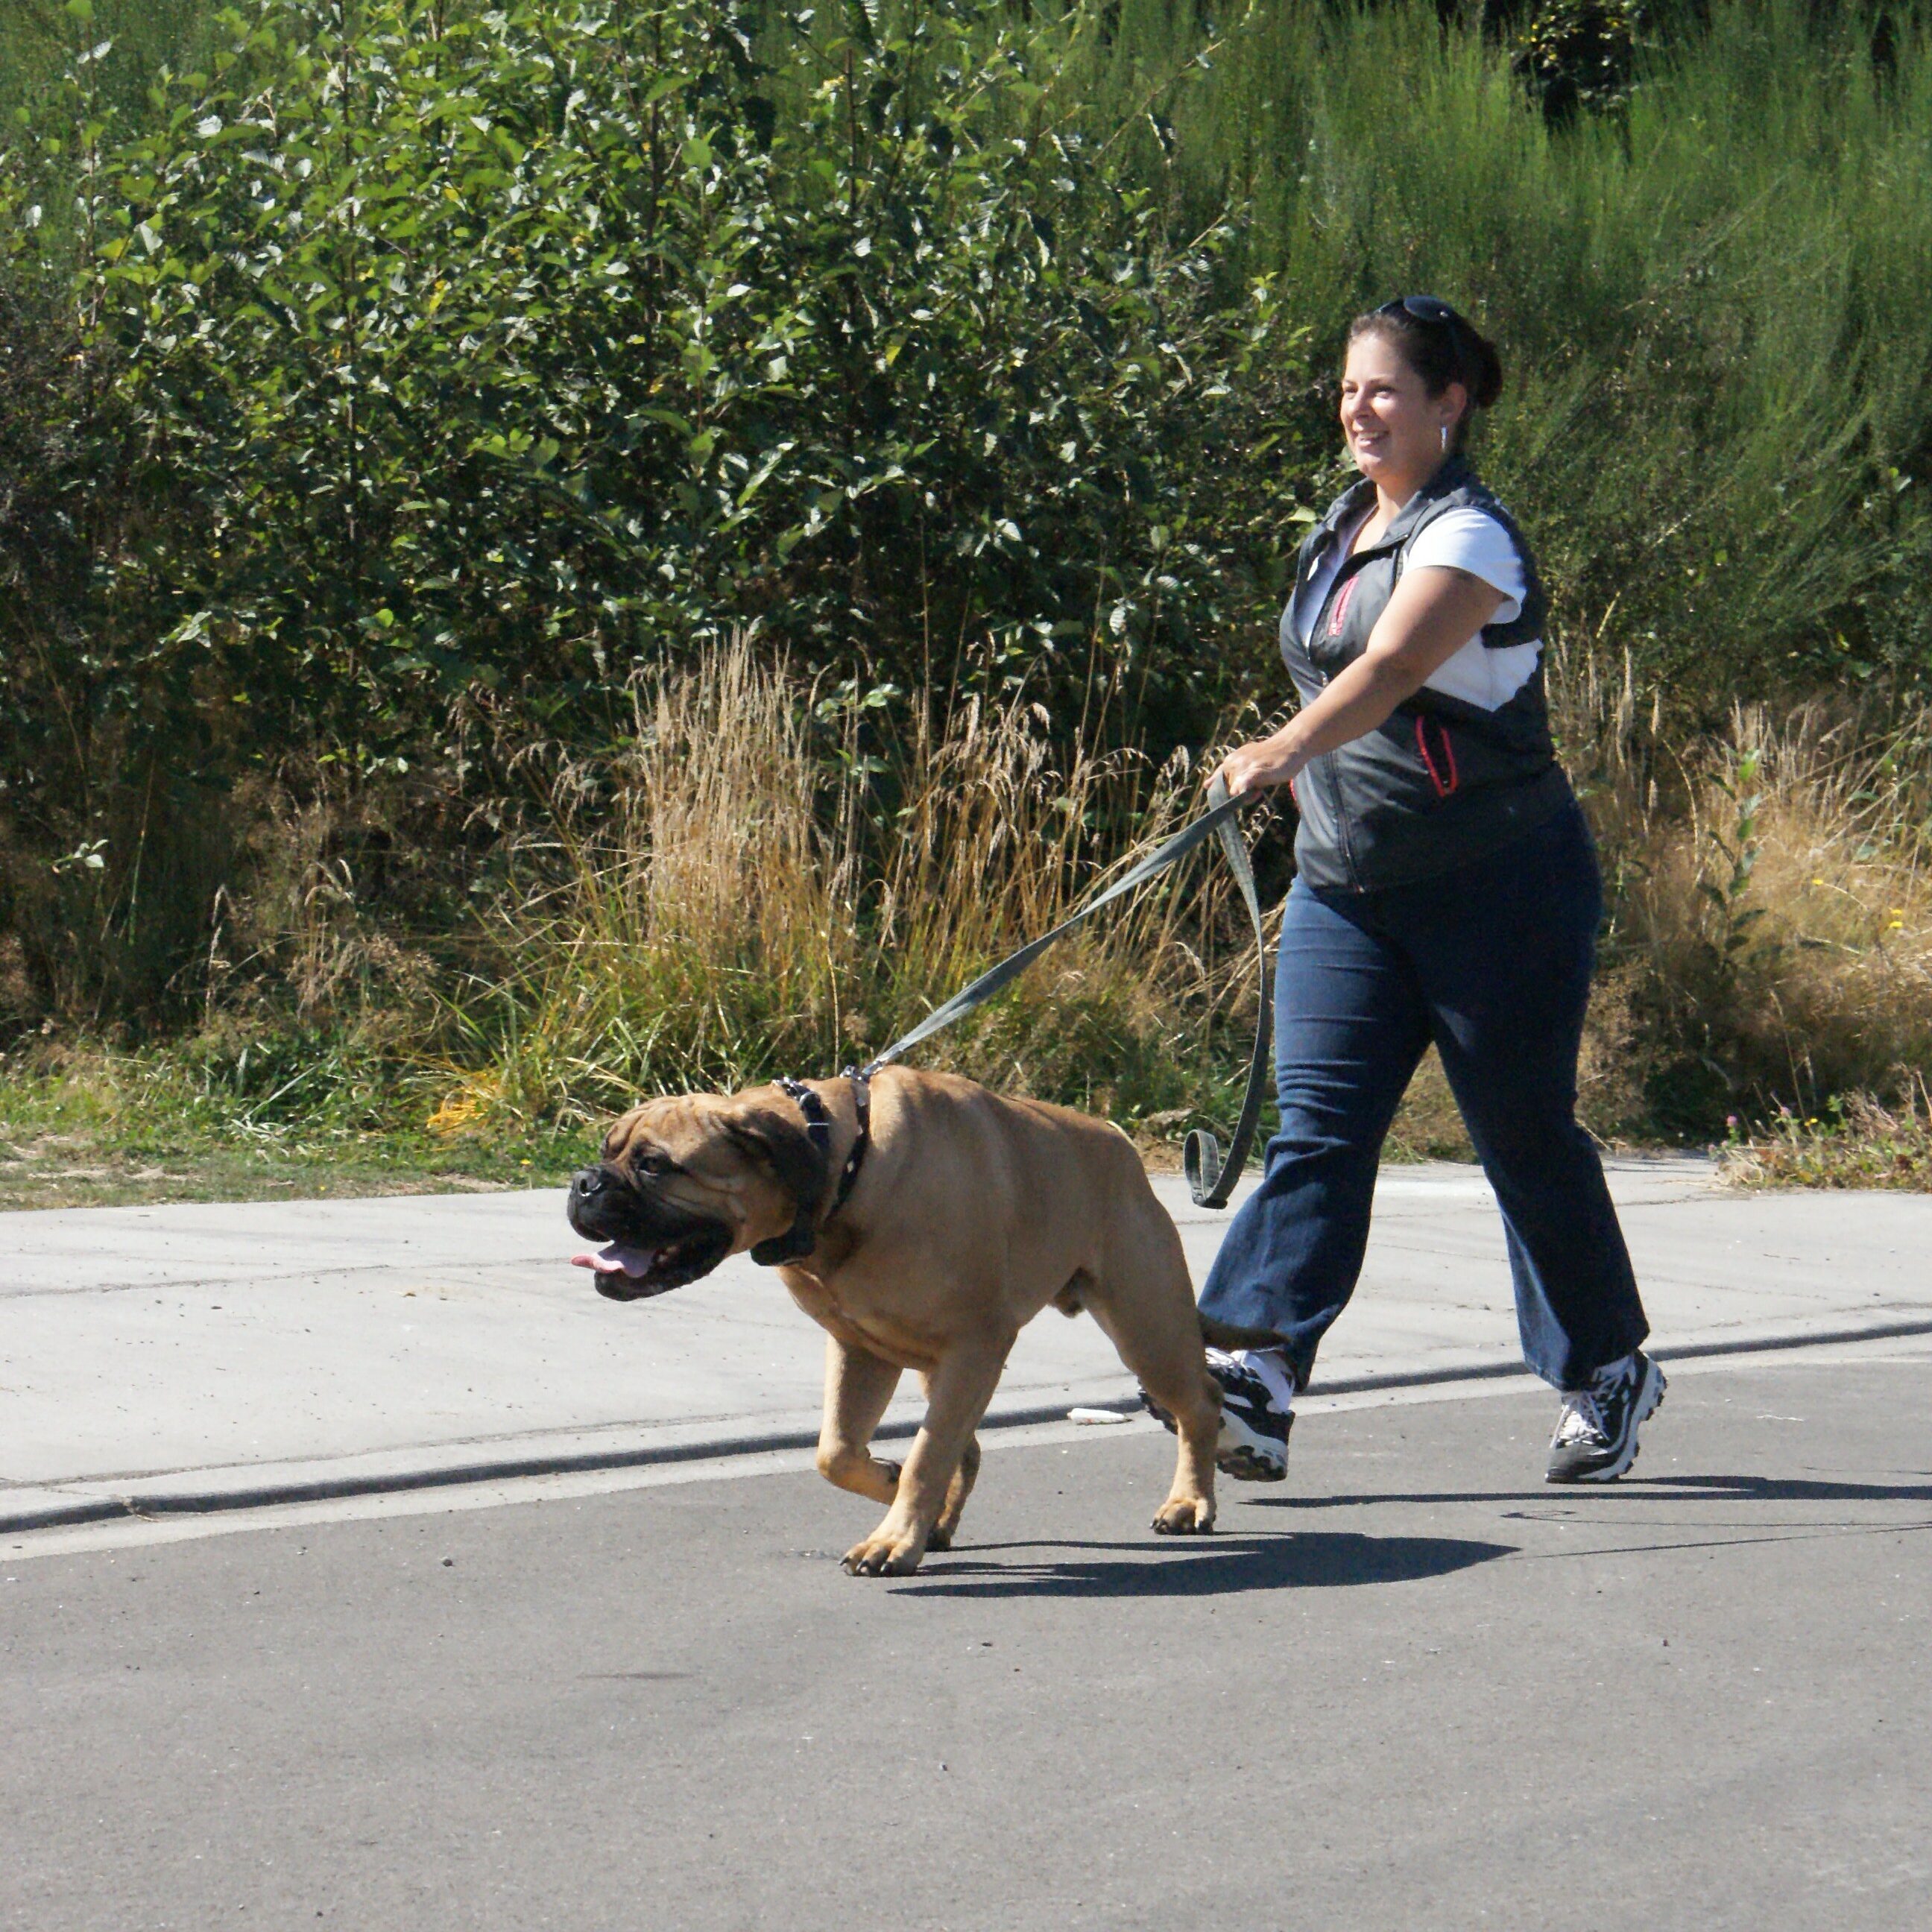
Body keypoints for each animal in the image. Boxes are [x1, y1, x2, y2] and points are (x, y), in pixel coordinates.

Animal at [564, 1066, 1221, 1576]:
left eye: (655, 1165)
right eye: (605, 1152)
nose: (582, 1181)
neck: (846, 1174)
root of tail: (1118, 1142)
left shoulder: (974, 1345)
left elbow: (927, 1456)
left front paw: (893, 1535)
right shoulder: (860, 1349)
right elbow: (837, 1452)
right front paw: (888, 1481)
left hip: (1145, 1329)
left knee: (1198, 1404)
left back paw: (1190, 1502)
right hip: (944, 1363)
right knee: (965, 1447)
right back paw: (937, 1522)